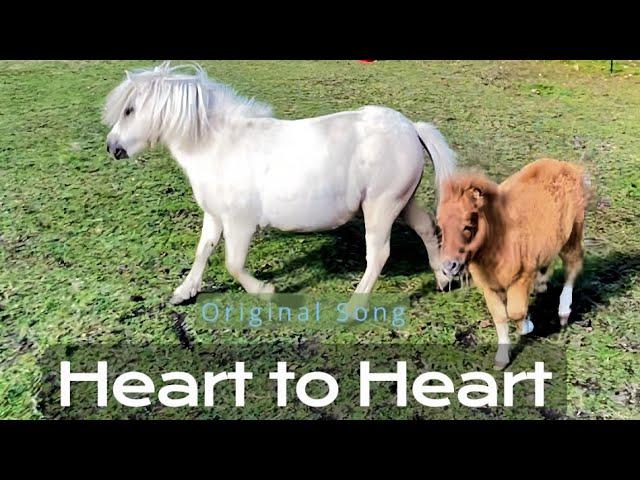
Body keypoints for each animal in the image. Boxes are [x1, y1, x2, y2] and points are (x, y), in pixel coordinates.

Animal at [104, 62, 456, 304]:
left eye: (129, 110)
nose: (112, 147)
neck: (217, 146)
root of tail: (410, 127)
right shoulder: (215, 215)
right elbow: (203, 251)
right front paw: (184, 292)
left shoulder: (240, 223)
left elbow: (233, 263)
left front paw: (266, 291)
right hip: (401, 201)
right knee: (426, 227)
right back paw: (442, 278)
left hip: (380, 207)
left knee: (379, 254)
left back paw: (353, 309)